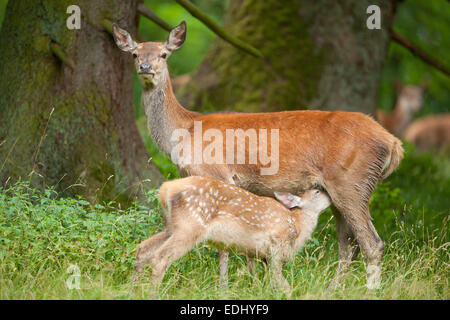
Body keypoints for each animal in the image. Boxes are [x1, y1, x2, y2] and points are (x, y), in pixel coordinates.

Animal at [112, 21, 404, 288]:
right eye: (135, 53)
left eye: (164, 54)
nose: (146, 67)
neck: (184, 130)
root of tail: (393, 143)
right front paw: (250, 281)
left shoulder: (217, 174)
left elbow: (222, 245)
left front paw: (223, 286)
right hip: (342, 189)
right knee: (349, 245)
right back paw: (333, 290)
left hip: (351, 183)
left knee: (371, 243)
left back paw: (369, 290)